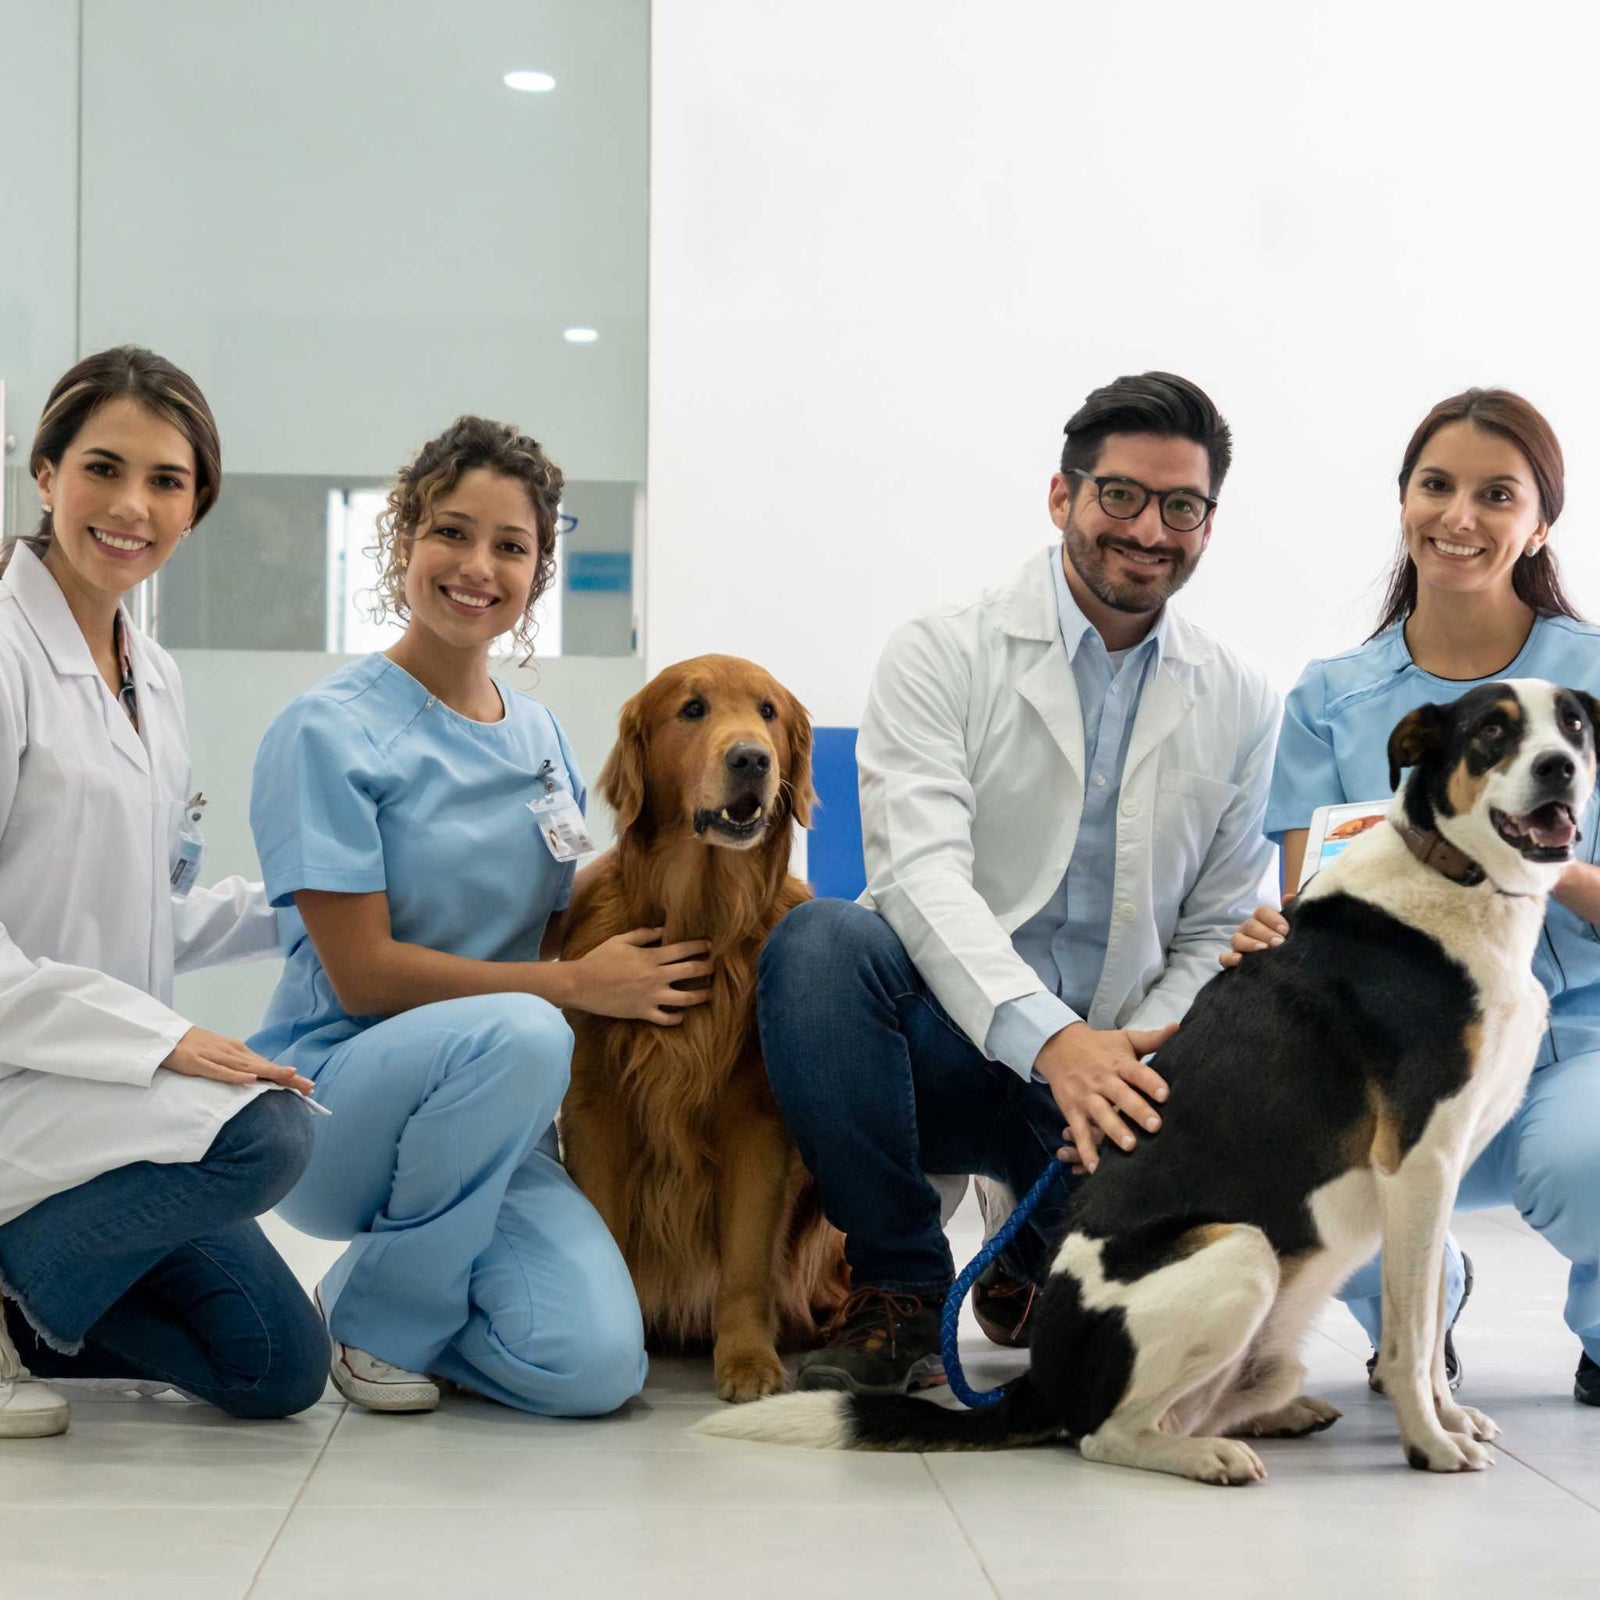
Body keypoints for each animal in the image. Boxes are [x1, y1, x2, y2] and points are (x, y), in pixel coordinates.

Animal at [704, 678, 1600, 1484]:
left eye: (1575, 726)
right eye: (1492, 730)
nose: (1559, 767)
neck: (1453, 877)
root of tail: (1042, 1380)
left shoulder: (1435, 1169)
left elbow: (1427, 1311)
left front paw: (1448, 1421)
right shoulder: (1417, 1163)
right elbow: (1414, 1337)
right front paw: (1430, 1443)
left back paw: (1275, 1414)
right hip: (1241, 1251)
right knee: (1108, 1435)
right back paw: (1206, 1456)